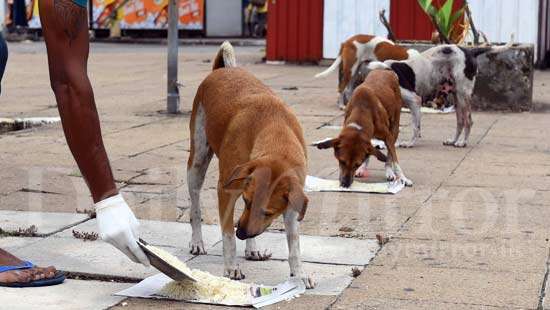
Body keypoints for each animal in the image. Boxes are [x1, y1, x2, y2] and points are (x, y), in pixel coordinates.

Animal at [188, 41, 314, 288]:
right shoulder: (226, 191)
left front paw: (299, 273)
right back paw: (197, 242)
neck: (275, 130)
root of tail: (222, 70)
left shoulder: (293, 200)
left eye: (268, 213)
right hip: (197, 160)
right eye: (246, 202)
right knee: (195, 204)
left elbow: (294, 245)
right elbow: (226, 234)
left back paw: (252, 248)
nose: (242, 234)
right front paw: (231, 267)